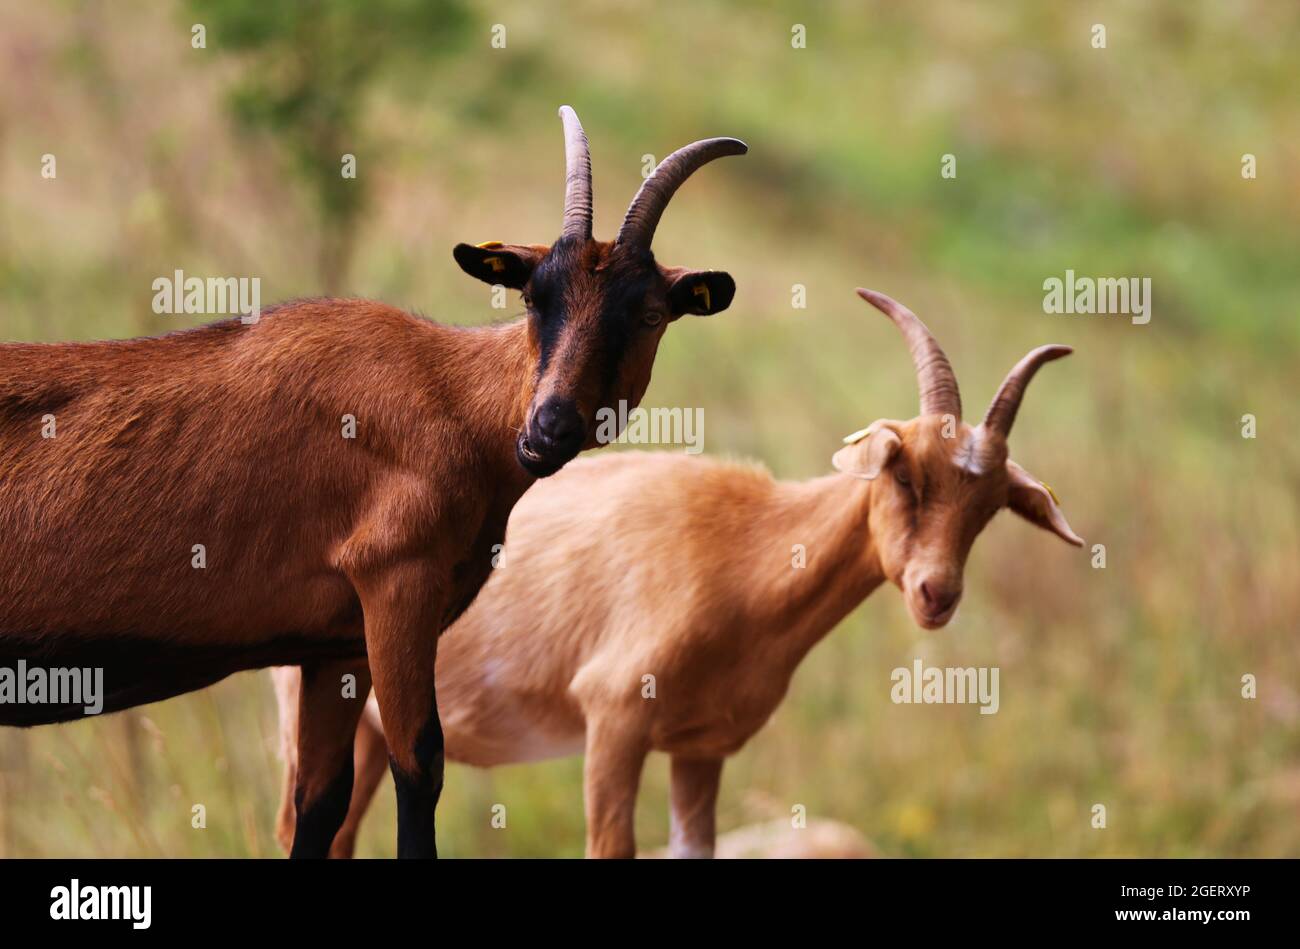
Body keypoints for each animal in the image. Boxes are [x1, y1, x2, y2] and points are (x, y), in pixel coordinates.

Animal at [0, 107, 748, 852]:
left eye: (650, 313)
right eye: (534, 296)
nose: (547, 429)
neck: (450, 395)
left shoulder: (335, 647)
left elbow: (320, 801)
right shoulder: (396, 583)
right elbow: (419, 768)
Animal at [271, 284, 1076, 852]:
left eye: (992, 506)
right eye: (904, 473)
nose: (936, 593)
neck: (745, 547)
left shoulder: (700, 750)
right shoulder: (614, 718)